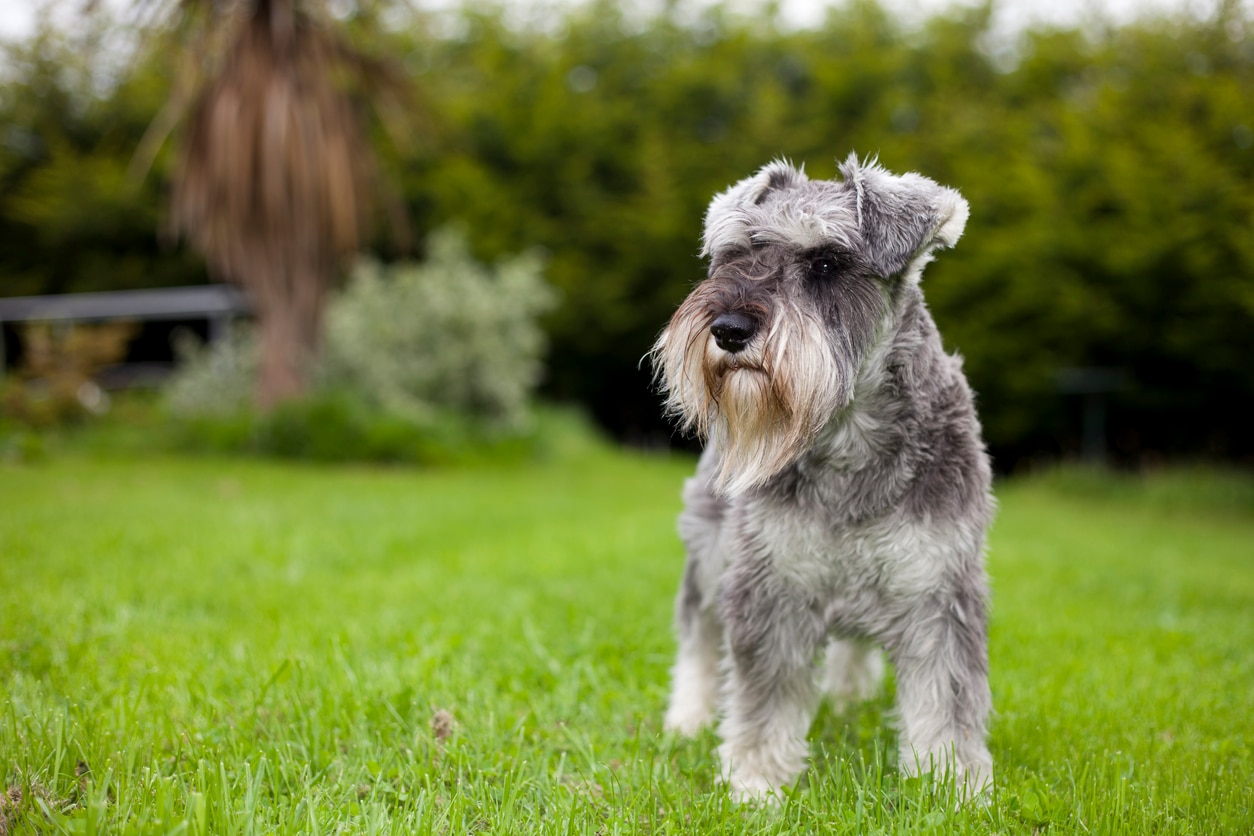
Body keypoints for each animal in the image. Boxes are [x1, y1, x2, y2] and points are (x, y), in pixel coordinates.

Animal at [652, 155, 993, 802]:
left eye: (827, 263)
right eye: (736, 254)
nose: (728, 328)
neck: (847, 441)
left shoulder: (938, 589)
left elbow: (946, 698)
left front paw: (951, 786)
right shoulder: (770, 586)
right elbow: (764, 698)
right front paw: (755, 784)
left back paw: (848, 697)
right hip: (709, 554)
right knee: (698, 636)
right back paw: (687, 718)